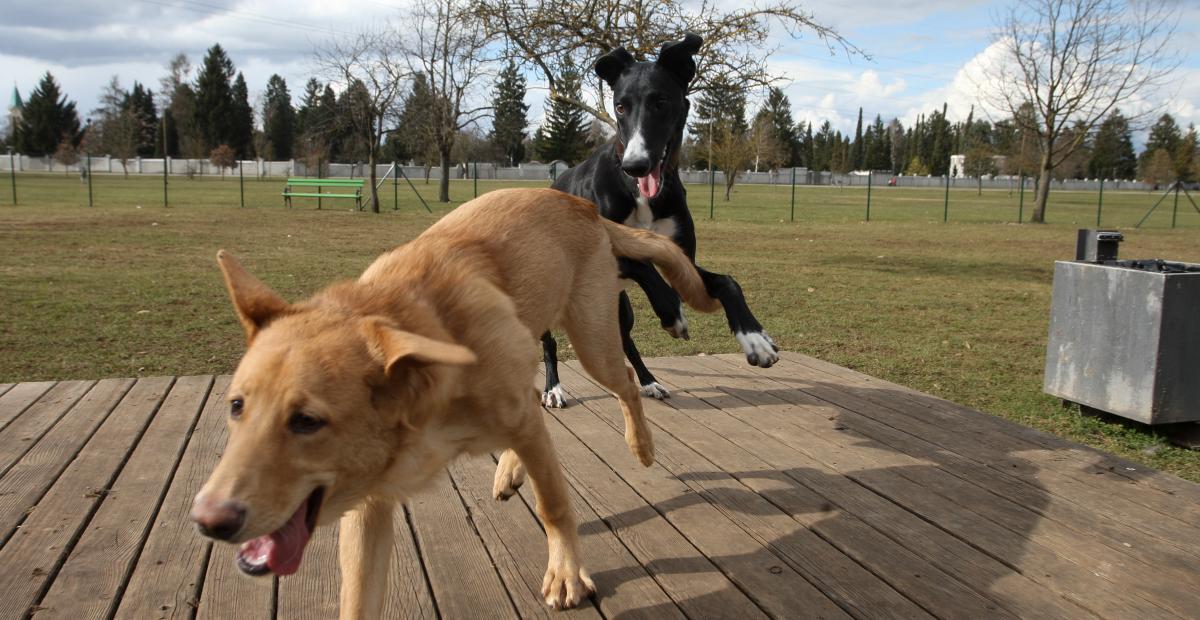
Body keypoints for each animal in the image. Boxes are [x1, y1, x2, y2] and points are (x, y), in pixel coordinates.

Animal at [190, 187, 715, 614]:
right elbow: (358, 597)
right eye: (236, 407)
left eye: (306, 421)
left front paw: (565, 573)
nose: (208, 521)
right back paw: (512, 469)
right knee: (537, 404)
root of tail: (579, 203)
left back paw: (640, 446)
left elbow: (554, 506)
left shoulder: (518, 422)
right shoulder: (370, 503)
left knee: (623, 381)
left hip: (592, 342)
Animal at [542, 33, 777, 405]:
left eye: (662, 101)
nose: (635, 165)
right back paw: (553, 388)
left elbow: (727, 281)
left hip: (616, 306)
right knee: (549, 342)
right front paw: (673, 313)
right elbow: (645, 267)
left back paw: (649, 381)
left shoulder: (683, 259)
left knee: (625, 341)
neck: (641, 194)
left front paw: (755, 337)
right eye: (620, 106)